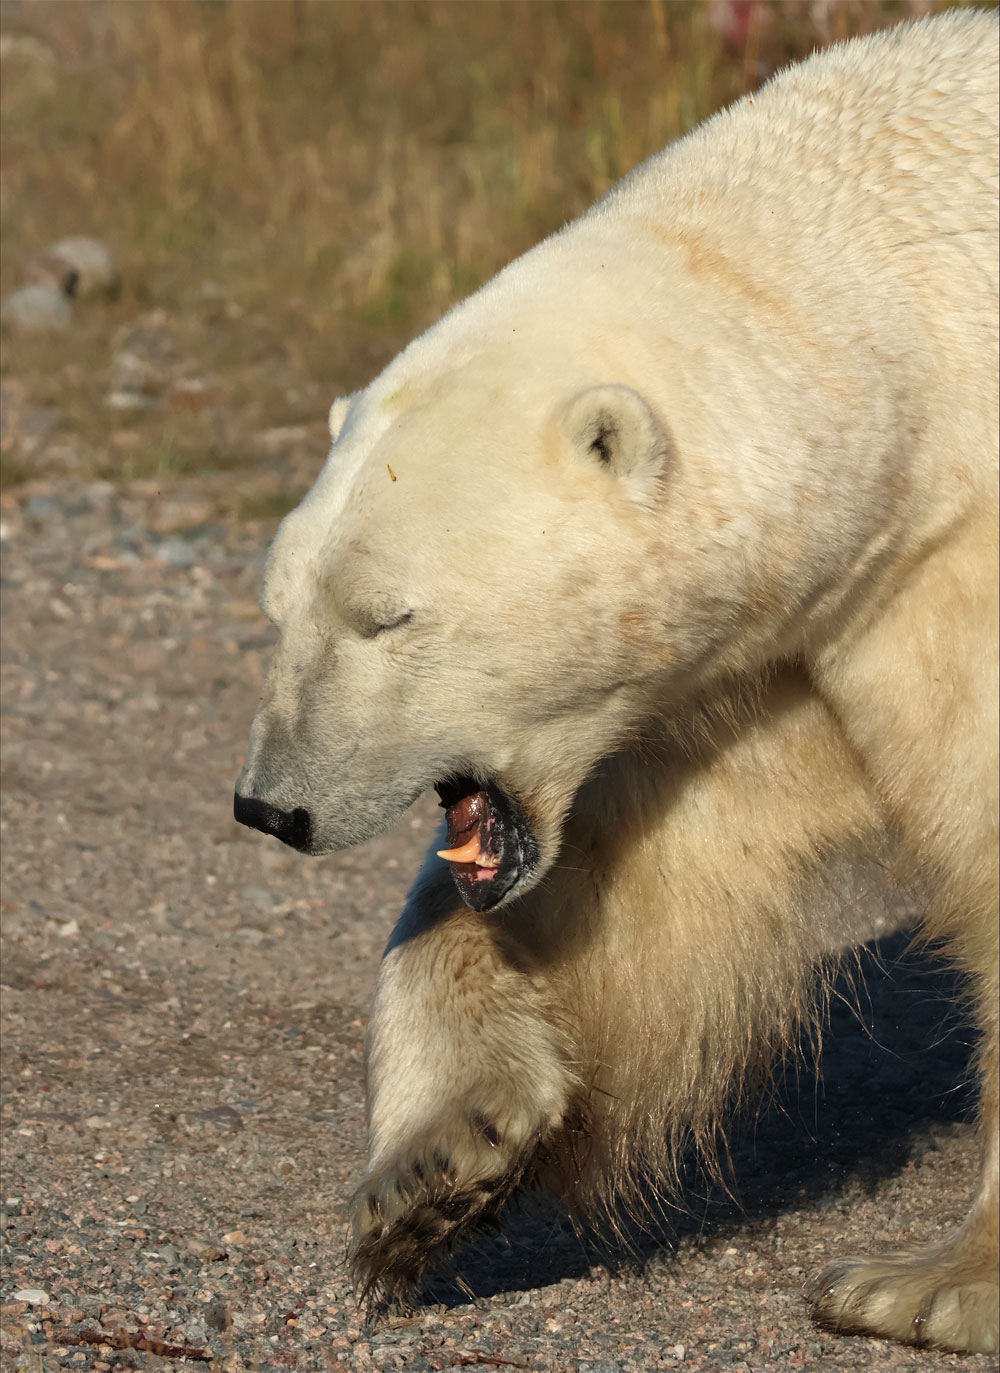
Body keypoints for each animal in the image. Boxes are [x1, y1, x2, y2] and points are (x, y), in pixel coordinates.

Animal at [234, 11, 999, 1355]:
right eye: (279, 604)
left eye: (387, 614)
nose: (273, 805)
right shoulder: (790, 632)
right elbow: (650, 868)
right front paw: (434, 1168)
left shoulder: (951, 565)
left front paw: (926, 1285)